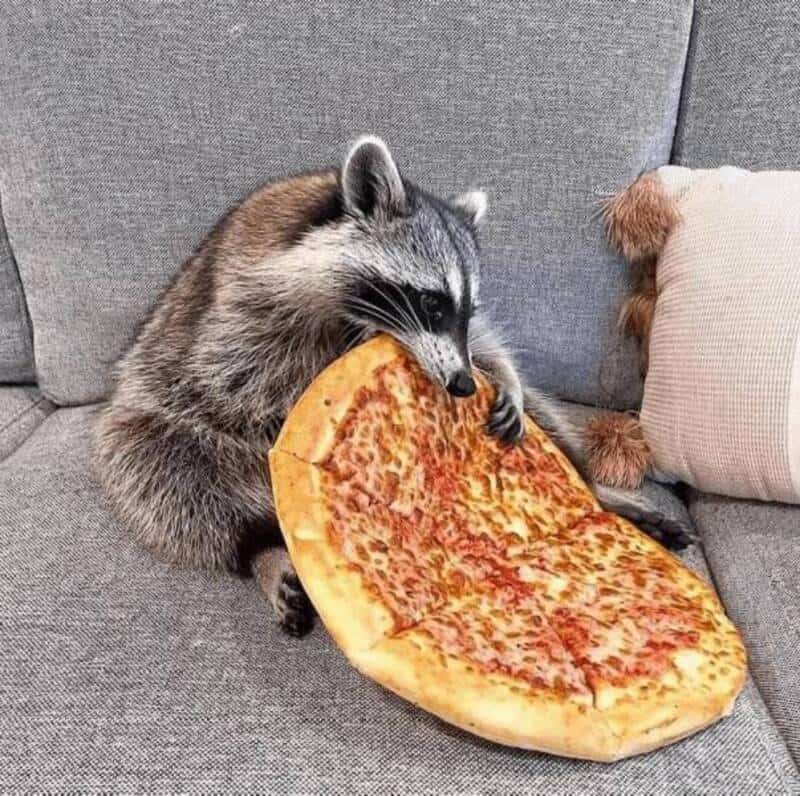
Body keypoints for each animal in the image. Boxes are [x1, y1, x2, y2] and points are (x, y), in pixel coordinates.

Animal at [93, 137, 691, 636]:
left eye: (467, 310)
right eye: (431, 302)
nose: (463, 386)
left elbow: (491, 349)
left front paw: (506, 379)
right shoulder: (240, 313)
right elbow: (238, 386)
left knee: (551, 427)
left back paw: (595, 492)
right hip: (154, 425)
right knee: (167, 477)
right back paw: (261, 548)